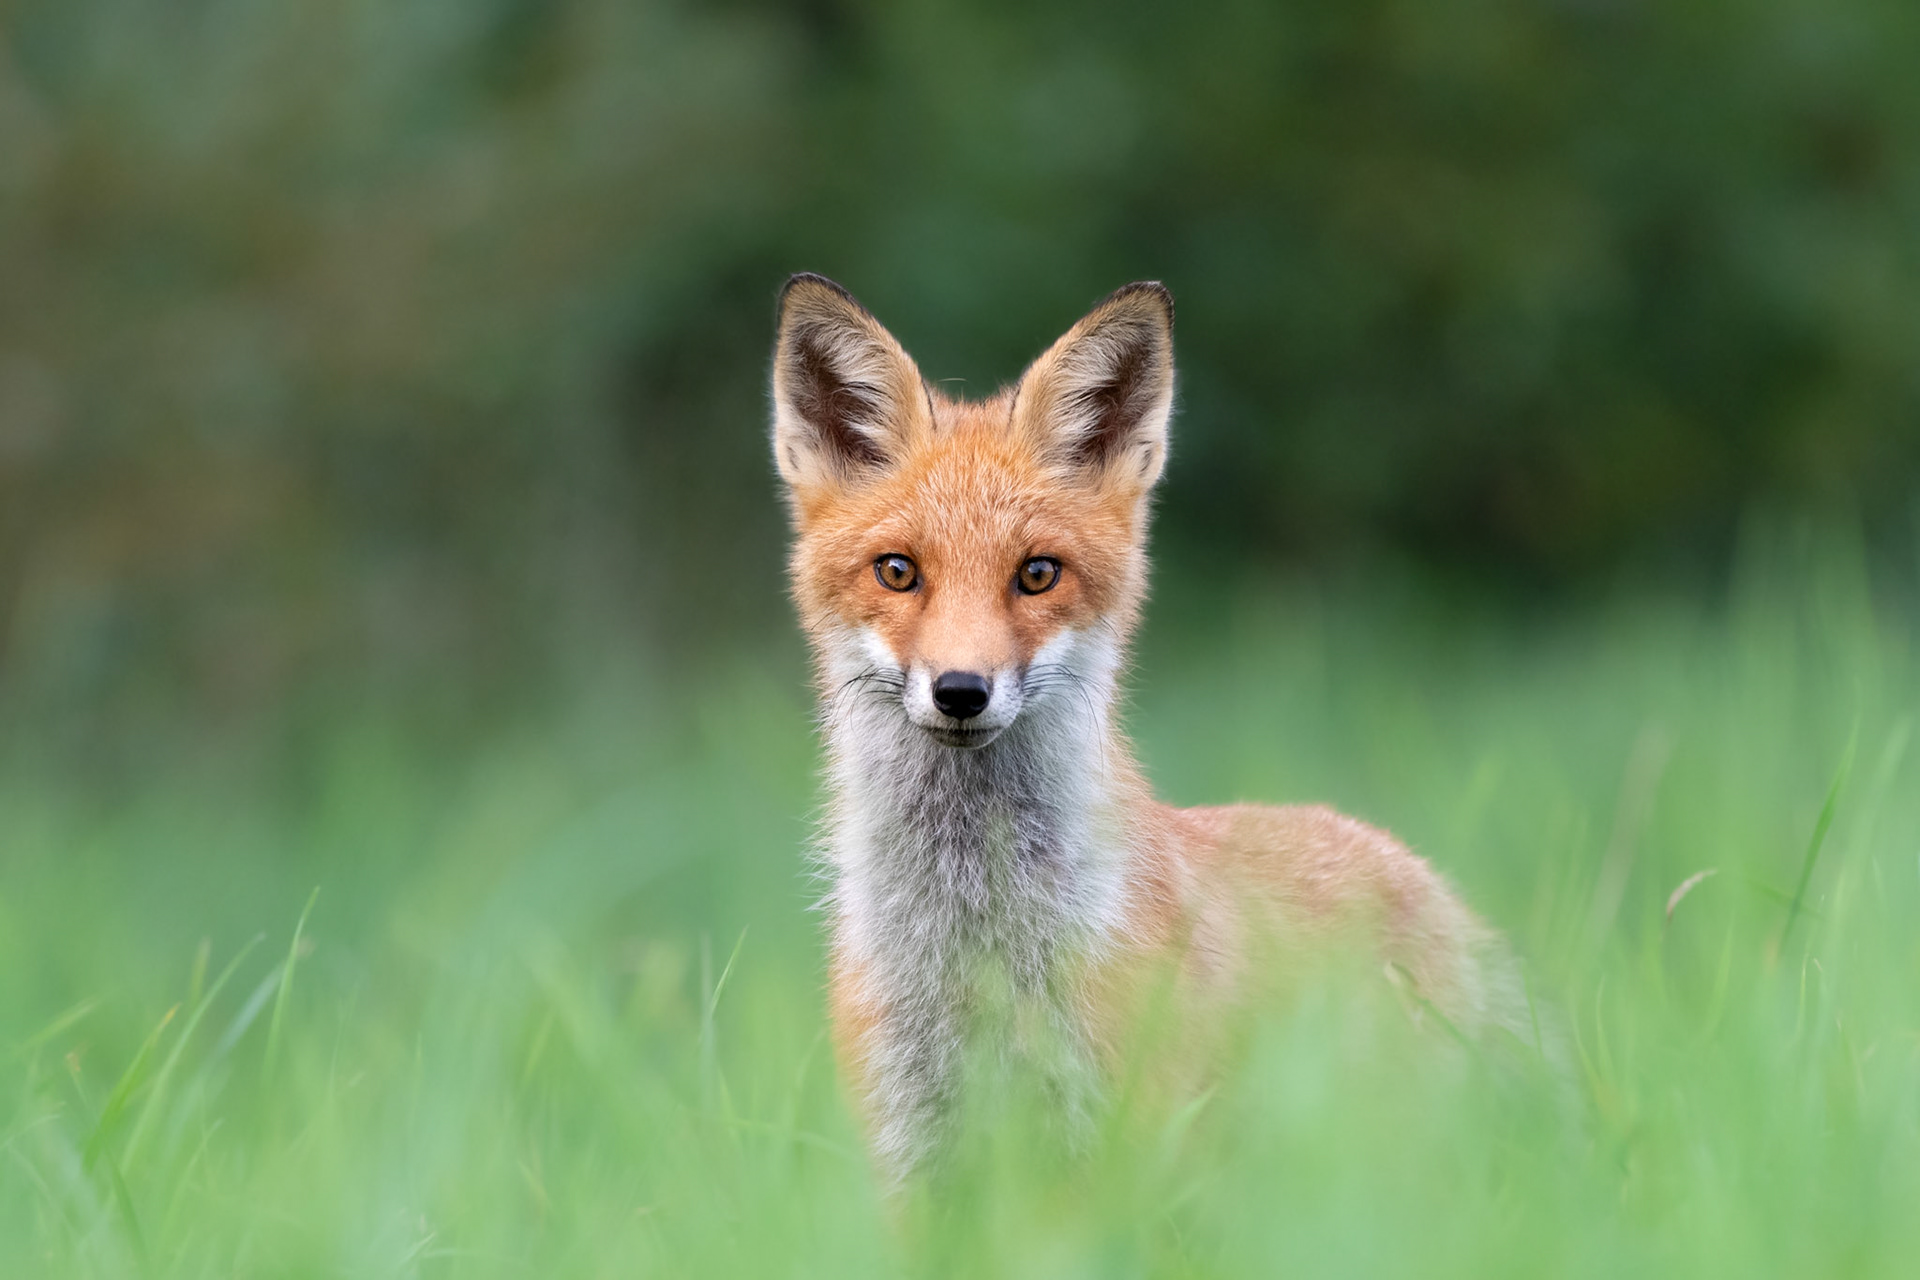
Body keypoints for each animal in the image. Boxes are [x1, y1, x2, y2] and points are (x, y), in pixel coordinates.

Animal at [769, 274, 1538, 1180]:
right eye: (897, 572)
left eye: (1037, 574)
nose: (961, 691)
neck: (977, 946)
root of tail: (1427, 882)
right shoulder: (914, 1149)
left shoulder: (1128, 1142)